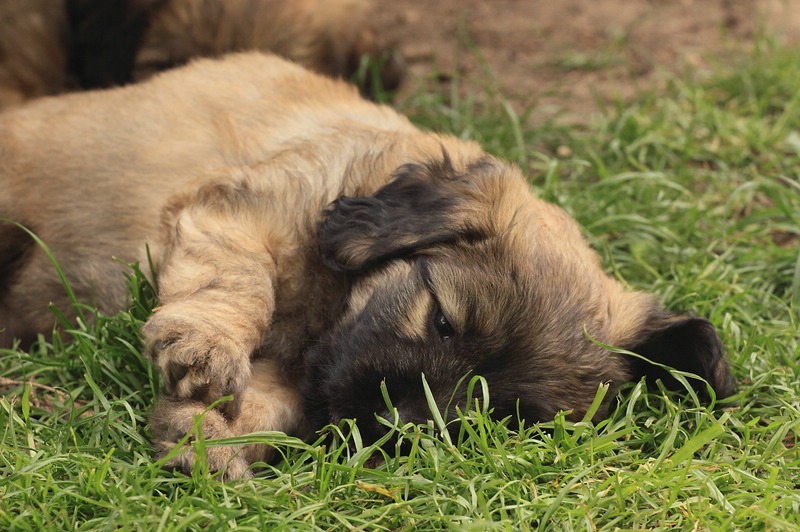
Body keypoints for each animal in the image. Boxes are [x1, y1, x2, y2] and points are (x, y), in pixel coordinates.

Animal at [0, 53, 736, 480]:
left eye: (499, 415)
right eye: (442, 320)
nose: (394, 427)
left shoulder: (312, 374)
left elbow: (275, 402)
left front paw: (211, 439)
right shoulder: (239, 210)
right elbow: (237, 281)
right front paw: (205, 350)